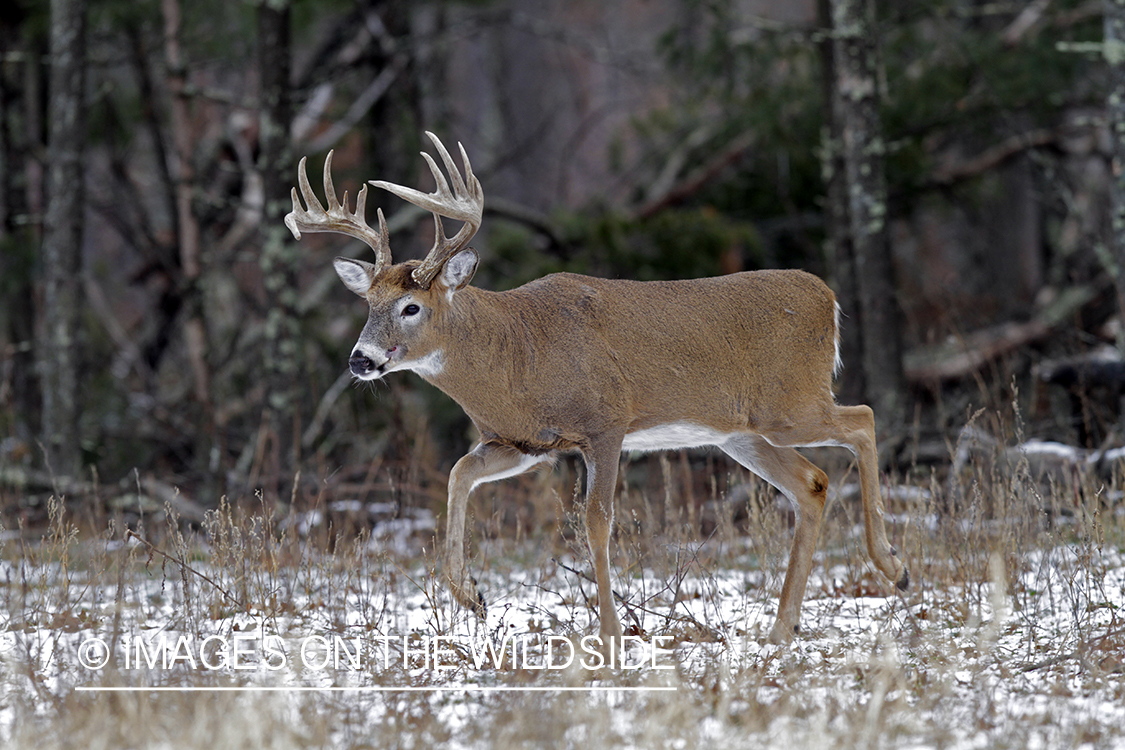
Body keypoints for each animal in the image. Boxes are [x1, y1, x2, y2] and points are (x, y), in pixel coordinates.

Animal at [285, 132, 909, 647]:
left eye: (411, 306)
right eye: (367, 303)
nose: (360, 360)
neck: (517, 353)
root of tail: (828, 298)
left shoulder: (606, 423)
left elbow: (596, 518)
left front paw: (608, 632)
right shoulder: (525, 442)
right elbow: (459, 474)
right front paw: (471, 596)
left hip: (791, 402)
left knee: (863, 417)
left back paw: (893, 566)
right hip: (742, 432)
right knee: (813, 482)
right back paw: (783, 628)